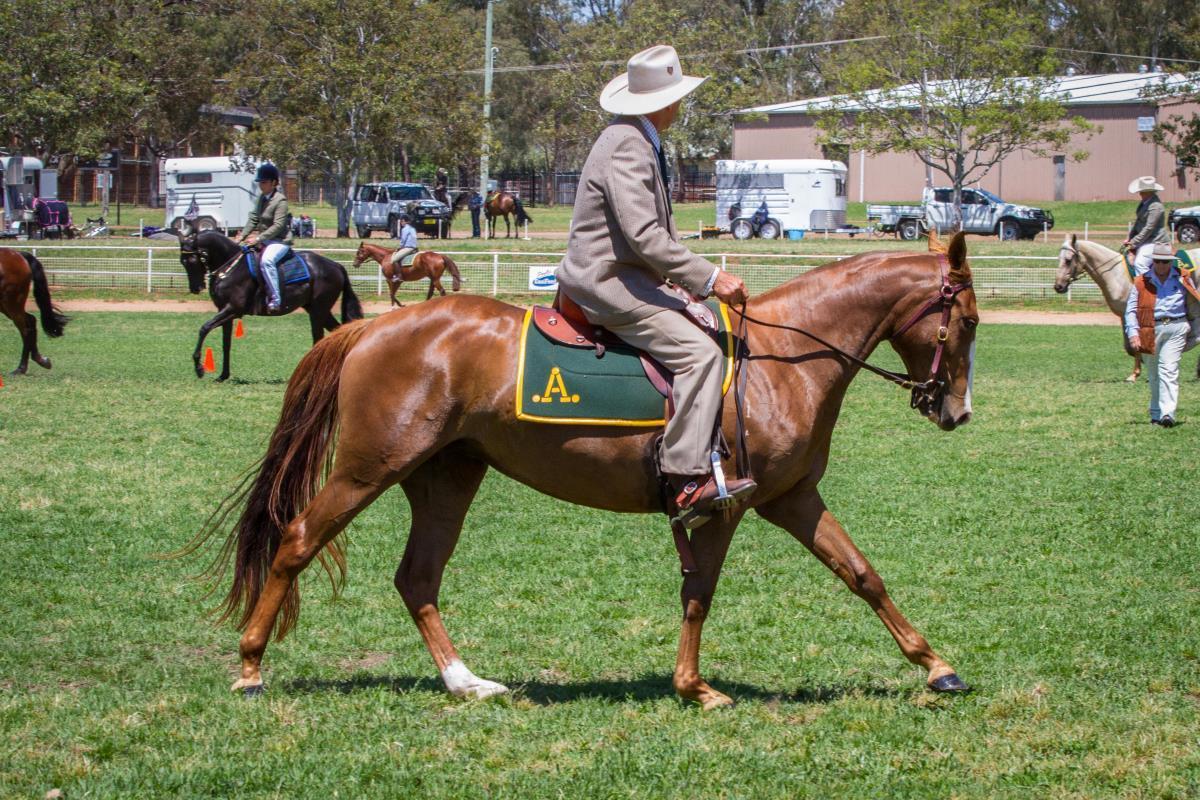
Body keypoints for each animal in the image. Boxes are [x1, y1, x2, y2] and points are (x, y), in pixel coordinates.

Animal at [177, 229, 364, 382]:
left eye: (192, 259)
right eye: (182, 261)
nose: (195, 288)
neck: (231, 267)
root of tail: (336, 265)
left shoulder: (232, 309)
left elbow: (204, 328)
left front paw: (199, 368)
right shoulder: (225, 312)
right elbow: (226, 343)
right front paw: (223, 375)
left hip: (318, 310)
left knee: (319, 338)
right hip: (318, 310)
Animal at [192, 233, 978, 709]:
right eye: (967, 321)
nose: (957, 412)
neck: (781, 360)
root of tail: (373, 327)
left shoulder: (792, 499)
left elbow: (862, 575)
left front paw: (937, 666)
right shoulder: (723, 506)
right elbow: (701, 593)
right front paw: (695, 688)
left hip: (445, 478)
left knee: (417, 578)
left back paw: (466, 682)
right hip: (368, 470)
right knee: (297, 541)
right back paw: (251, 667)